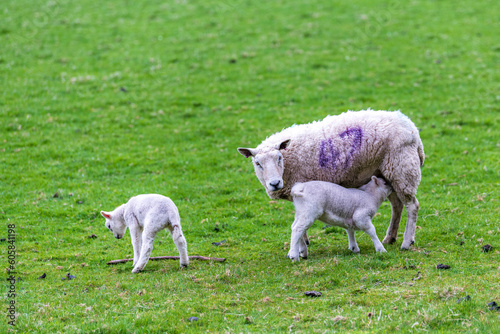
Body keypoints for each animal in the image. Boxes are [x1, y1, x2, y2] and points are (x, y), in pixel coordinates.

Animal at [236, 109, 424, 250]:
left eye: (279, 158)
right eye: (257, 163)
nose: (275, 184)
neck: (288, 162)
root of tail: (411, 126)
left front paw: (301, 245)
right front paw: (304, 242)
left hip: (402, 168)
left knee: (412, 205)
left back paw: (406, 242)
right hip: (387, 173)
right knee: (397, 205)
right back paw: (390, 237)